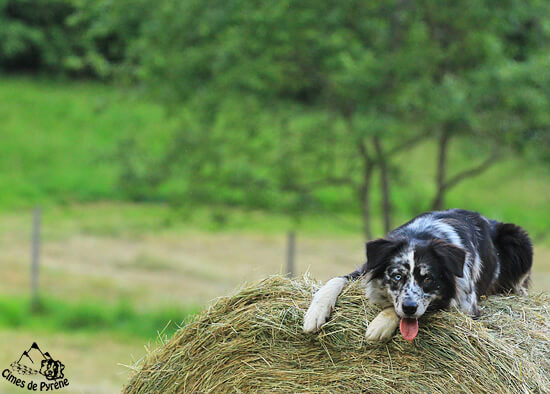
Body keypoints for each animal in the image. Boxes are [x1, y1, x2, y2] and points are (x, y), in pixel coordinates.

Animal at [306, 209, 536, 342]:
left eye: (428, 279)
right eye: (397, 276)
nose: (409, 307)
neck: (422, 234)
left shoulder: (465, 305)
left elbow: (401, 310)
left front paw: (380, 325)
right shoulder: (365, 269)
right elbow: (334, 281)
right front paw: (314, 314)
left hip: (518, 239)